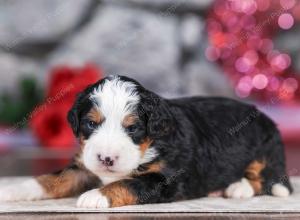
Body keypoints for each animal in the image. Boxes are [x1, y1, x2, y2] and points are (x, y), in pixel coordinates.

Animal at [0, 75, 292, 207]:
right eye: (91, 123)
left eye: (133, 128)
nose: (106, 159)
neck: (149, 145)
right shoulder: (83, 166)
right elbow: (52, 179)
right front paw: (11, 190)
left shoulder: (167, 179)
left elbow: (129, 183)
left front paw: (96, 195)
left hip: (266, 150)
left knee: (270, 180)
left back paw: (237, 187)